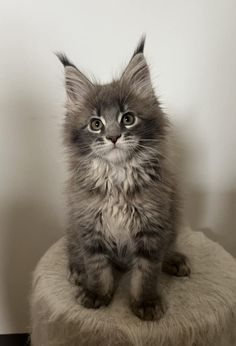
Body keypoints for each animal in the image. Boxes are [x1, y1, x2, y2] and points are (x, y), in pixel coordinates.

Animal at [56, 37, 190, 322]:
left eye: (127, 119)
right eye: (96, 124)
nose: (114, 137)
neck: (117, 178)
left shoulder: (153, 226)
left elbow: (147, 272)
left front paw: (146, 302)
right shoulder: (89, 225)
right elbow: (97, 267)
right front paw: (96, 293)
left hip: (172, 218)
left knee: (167, 248)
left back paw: (174, 260)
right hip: (73, 226)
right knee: (74, 250)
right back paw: (77, 270)